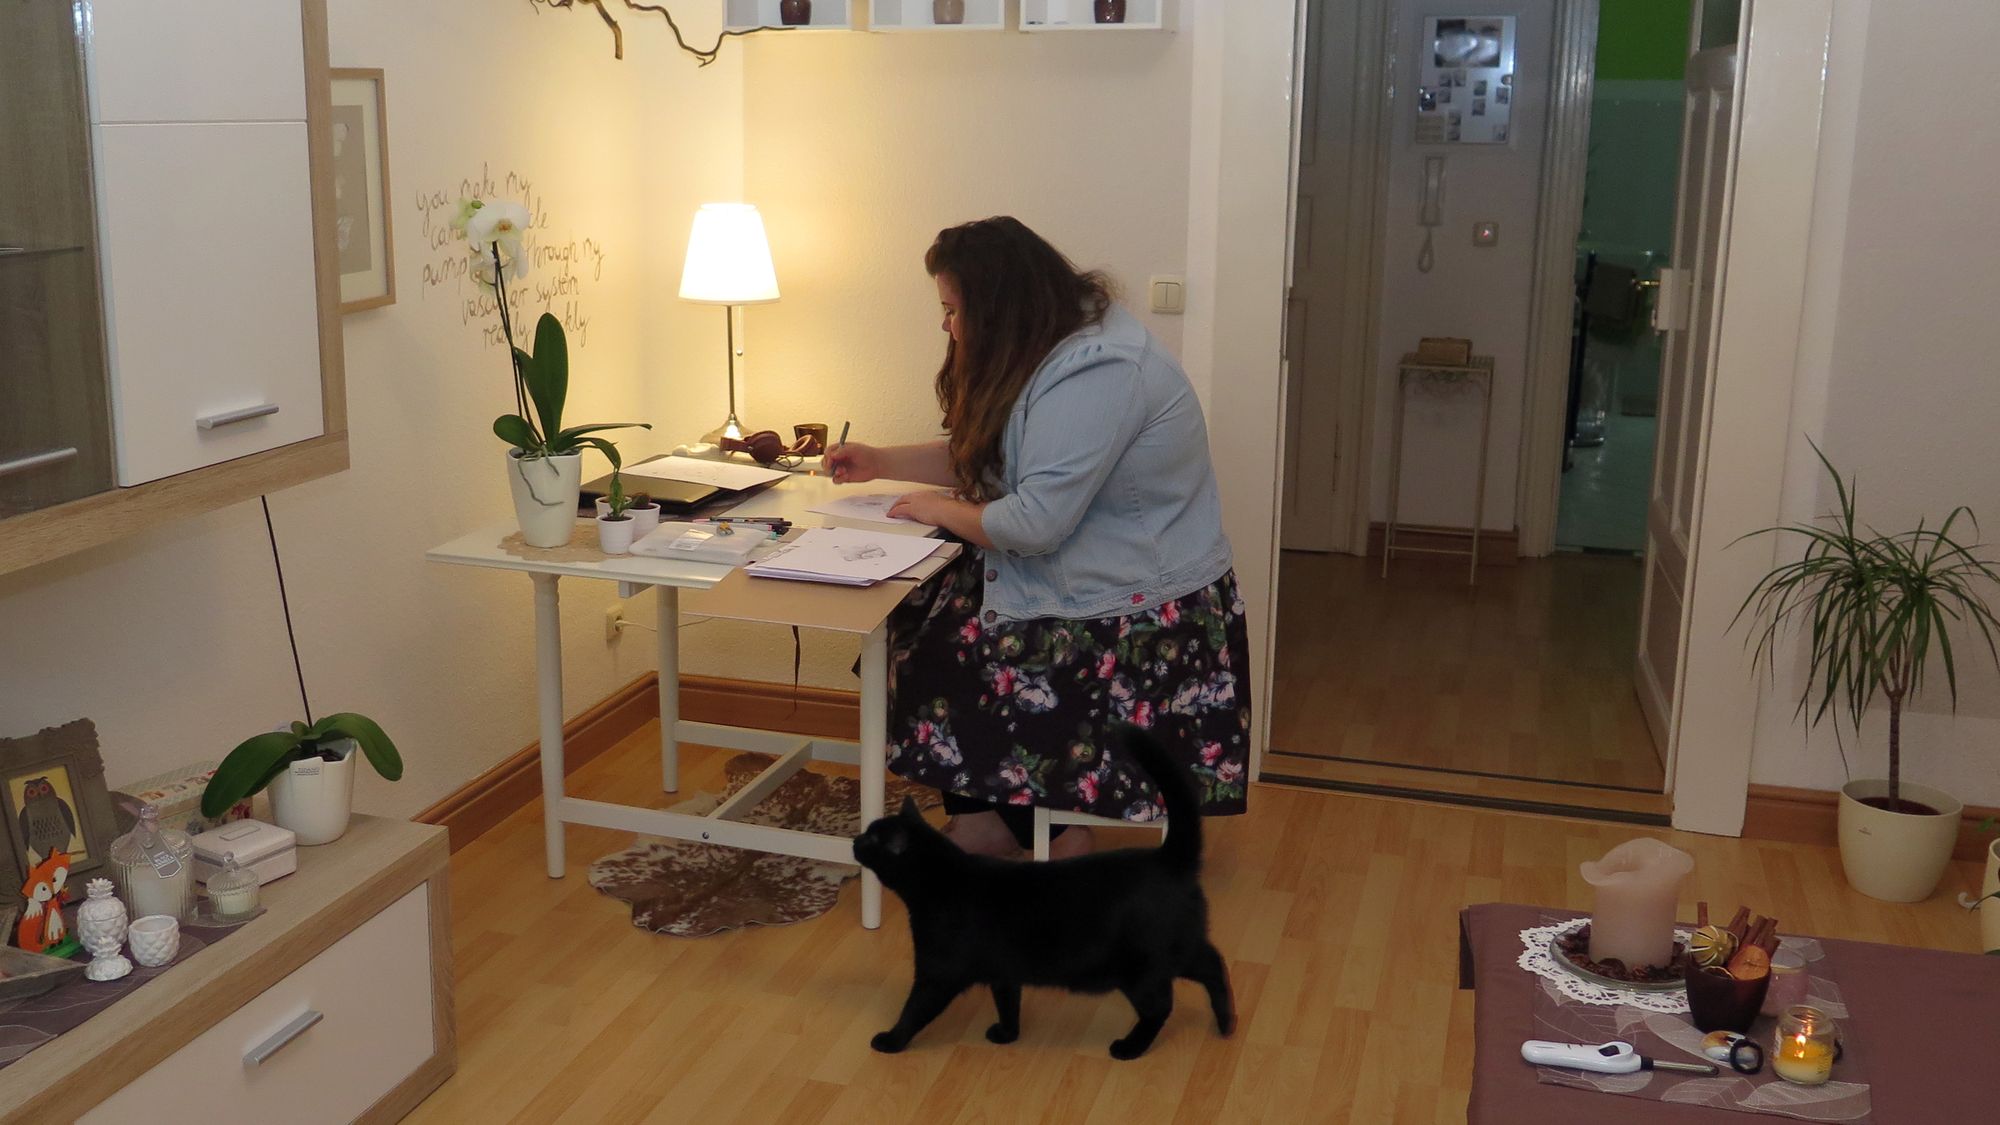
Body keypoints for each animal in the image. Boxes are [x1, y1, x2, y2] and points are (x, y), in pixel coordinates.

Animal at [852, 728, 1234, 1060]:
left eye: (872, 839)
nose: (855, 841)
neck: (941, 881)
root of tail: (1169, 857)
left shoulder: (938, 973)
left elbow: (914, 1011)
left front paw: (890, 1041)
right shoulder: (1003, 971)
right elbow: (1008, 1003)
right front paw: (1007, 1035)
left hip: (1141, 968)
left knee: (1160, 1007)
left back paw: (1129, 1048)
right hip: (1178, 949)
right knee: (1214, 963)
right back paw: (1227, 1021)